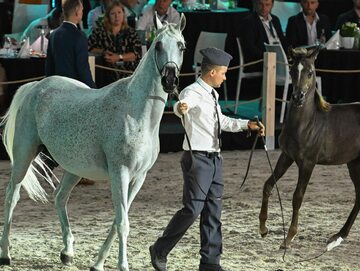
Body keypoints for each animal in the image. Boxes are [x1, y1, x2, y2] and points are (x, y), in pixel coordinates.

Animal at [0, 14, 187, 271]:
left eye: (181, 46)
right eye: (157, 45)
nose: (170, 79)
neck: (136, 113)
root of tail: (35, 87)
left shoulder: (139, 177)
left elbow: (118, 220)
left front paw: (98, 263)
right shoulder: (120, 173)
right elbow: (122, 223)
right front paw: (122, 265)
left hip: (73, 168)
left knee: (59, 197)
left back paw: (67, 252)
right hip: (23, 156)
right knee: (12, 196)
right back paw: (5, 254)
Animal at [258, 46, 360, 251]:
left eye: (310, 72)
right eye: (291, 71)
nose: (298, 97)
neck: (307, 124)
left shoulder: (308, 163)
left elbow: (297, 197)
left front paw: (288, 238)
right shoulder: (287, 156)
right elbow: (268, 184)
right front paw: (263, 228)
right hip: (354, 163)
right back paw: (340, 234)